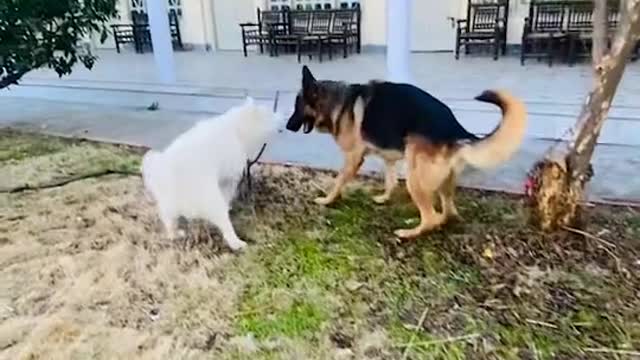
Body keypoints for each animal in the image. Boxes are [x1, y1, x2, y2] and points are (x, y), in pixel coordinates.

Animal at [141, 97, 282, 252]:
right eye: (270, 114)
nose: (282, 118)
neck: (237, 128)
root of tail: (167, 172)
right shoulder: (229, 177)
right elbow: (227, 195)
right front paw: (229, 206)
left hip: (170, 203)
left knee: (168, 218)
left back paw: (175, 234)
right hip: (210, 197)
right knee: (223, 222)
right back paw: (236, 243)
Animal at [288, 66, 528, 239]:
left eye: (297, 107)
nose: (288, 126)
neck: (339, 102)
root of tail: (455, 129)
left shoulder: (353, 157)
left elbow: (339, 181)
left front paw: (327, 200)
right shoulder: (389, 157)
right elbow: (390, 181)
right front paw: (384, 198)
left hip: (415, 177)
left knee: (431, 217)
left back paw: (408, 233)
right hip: (442, 180)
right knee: (447, 212)